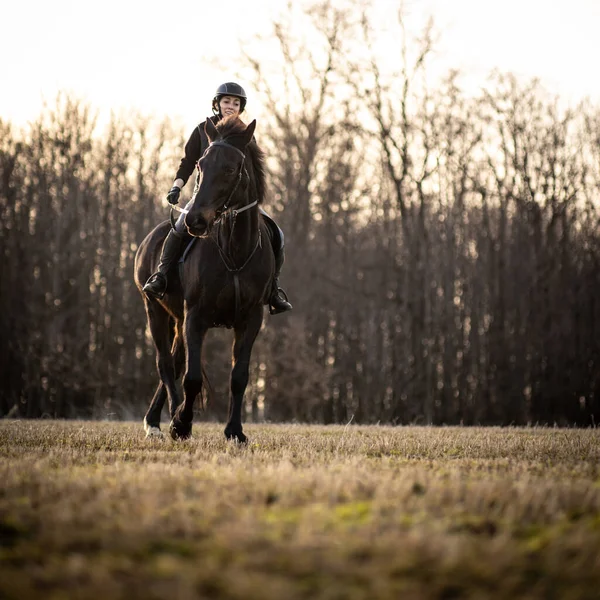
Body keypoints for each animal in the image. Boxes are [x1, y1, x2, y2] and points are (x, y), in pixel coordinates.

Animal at [134, 117, 274, 442]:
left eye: (231, 169)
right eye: (200, 164)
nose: (195, 221)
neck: (235, 251)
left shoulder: (251, 319)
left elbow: (239, 377)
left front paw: (235, 431)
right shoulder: (195, 316)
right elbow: (192, 377)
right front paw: (181, 424)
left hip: (176, 317)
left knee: (173, 362)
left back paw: (157, 419)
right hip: (154, 309)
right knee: (165, 363)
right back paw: (165, 420)